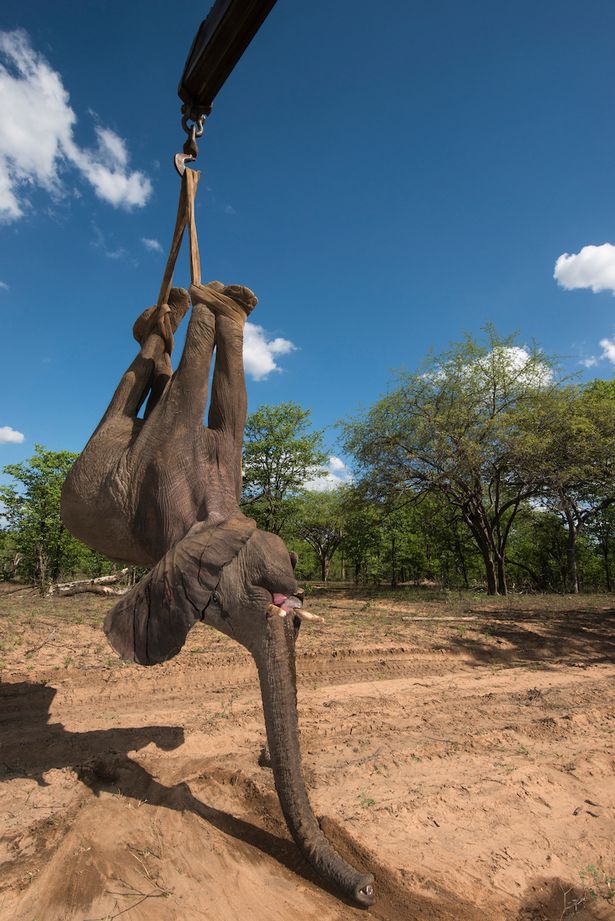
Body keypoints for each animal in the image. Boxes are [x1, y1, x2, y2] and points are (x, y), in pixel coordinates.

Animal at [61, 278, 376, 904]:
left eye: (299, 618)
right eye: (239, 608)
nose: (368, 889)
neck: (213, 518)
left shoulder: (207, 455)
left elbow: (226, 405)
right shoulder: (155, 472)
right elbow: (193, 399)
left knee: (168, 381)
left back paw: (193, 311)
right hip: (113, 452)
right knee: (152, 385)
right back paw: (180, 312)